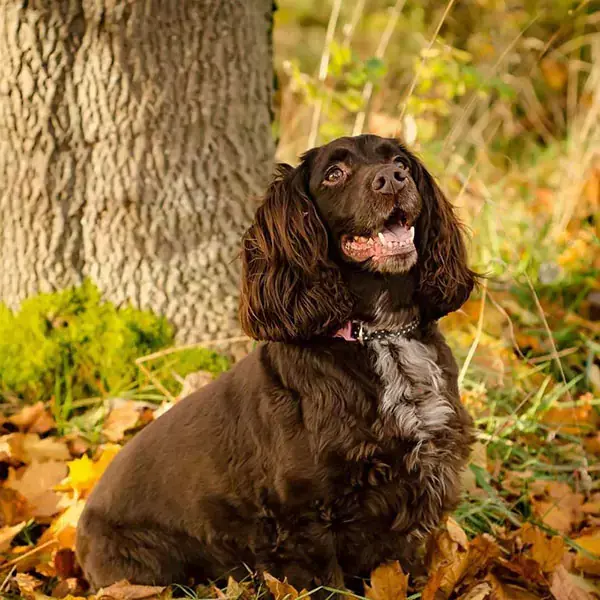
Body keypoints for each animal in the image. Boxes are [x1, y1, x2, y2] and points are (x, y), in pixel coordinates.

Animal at [76, 135, 478, 592]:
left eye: (399, 162)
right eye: (334, 174)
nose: (392, 179)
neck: (381, 335)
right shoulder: (304, 518)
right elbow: (329, 585)